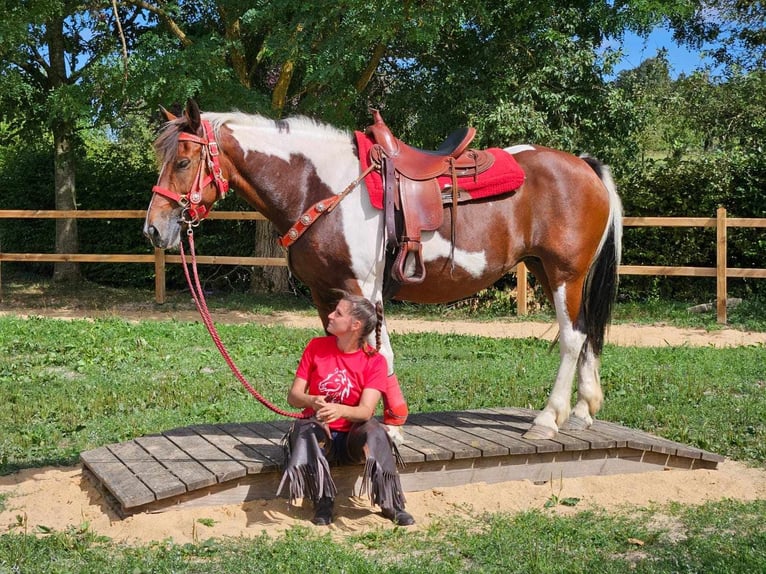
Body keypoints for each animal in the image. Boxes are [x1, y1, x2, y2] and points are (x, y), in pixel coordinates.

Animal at [144, 100, 624, 440]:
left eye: (182, 162)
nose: (154, 229)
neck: (319, 187)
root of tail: (585, 166)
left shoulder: (363, 289)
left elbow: (382, 355)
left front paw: (390, 426)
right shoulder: (326, 292)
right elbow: (333, 352)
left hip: (564, 274)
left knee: (572, 337)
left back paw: (548, 418)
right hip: (545, 270)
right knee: (586, 332)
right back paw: (582, 411)